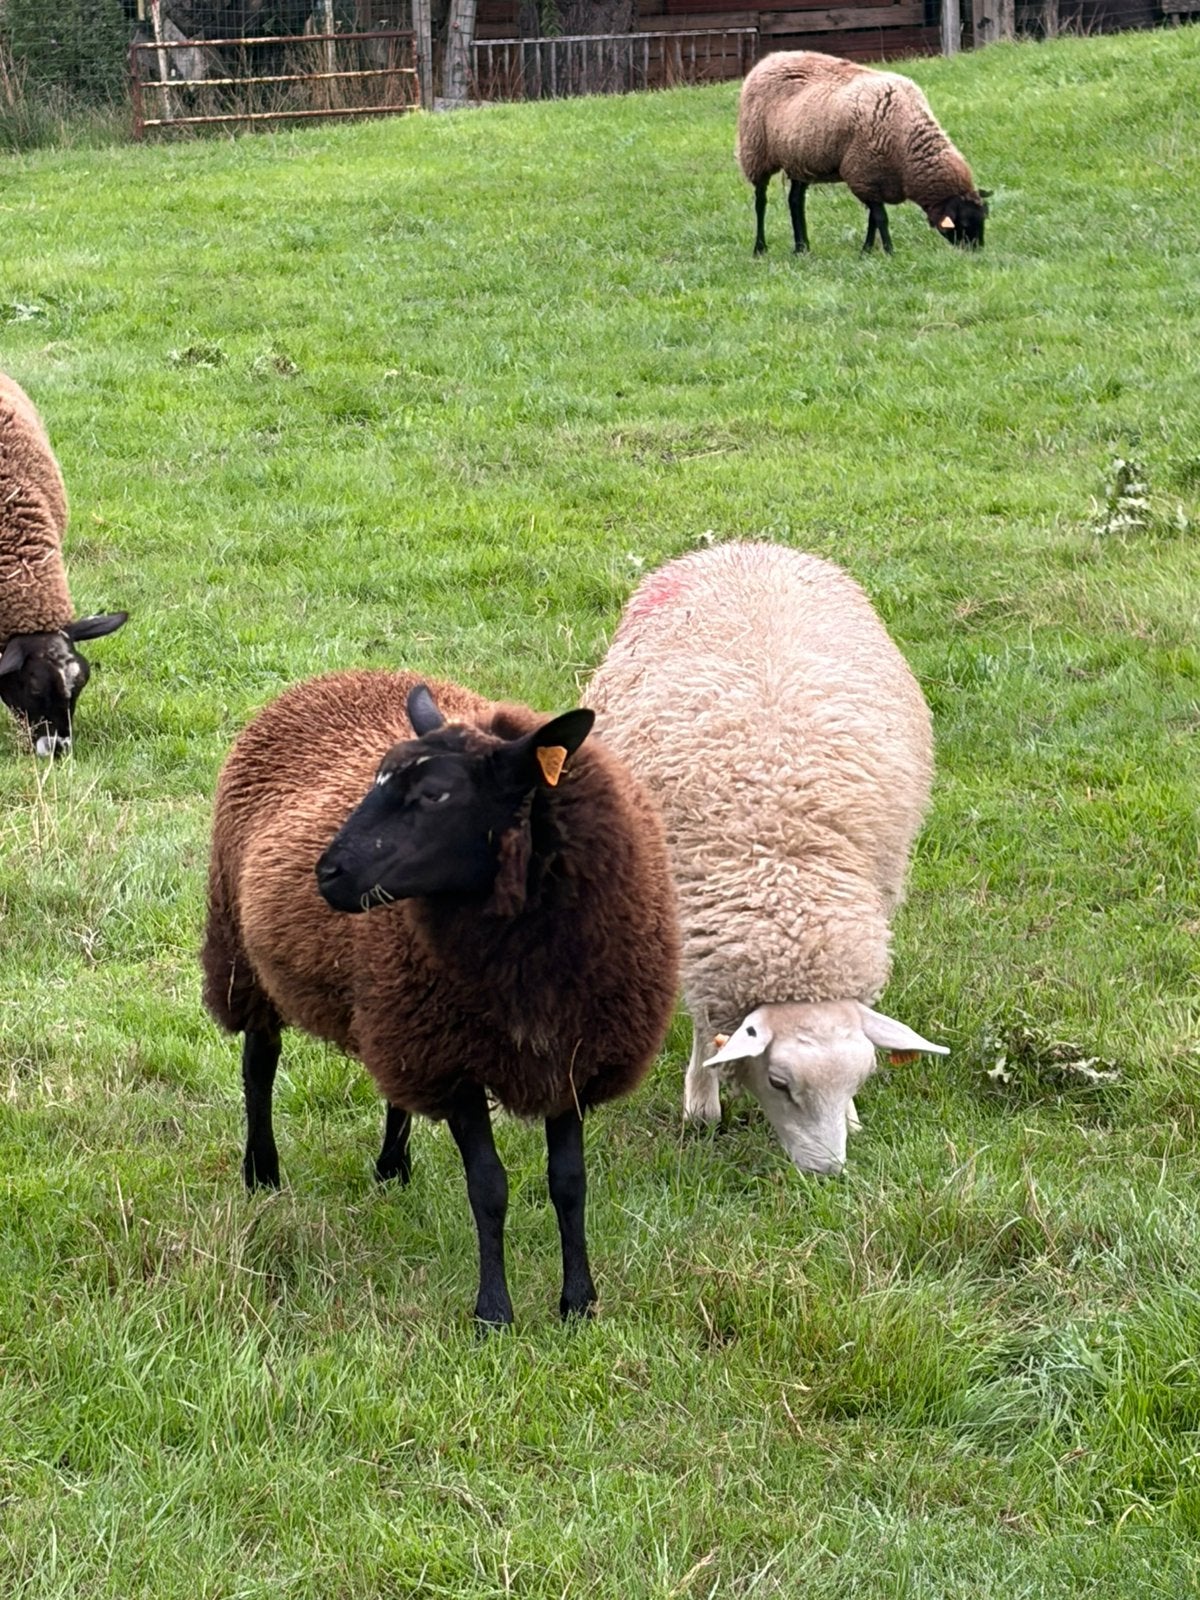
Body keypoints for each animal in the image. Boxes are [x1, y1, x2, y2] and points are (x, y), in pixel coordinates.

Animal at [201, 669, 679, 1328]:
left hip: (396, 1005)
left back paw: (392, 1169)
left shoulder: (570, 1057)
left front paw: (578, 1303)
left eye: (435, 796)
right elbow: (490, 1187)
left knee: (391, 1086)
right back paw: (262, 1172)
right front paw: (494, 1313)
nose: (327, 873)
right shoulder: (456, 1064)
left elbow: (569, 1181)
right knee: (259, 1065)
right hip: (244, 954)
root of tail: (339, 675)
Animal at [587, 542, 947, 1176]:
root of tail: (744, 545)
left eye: (861, 1079)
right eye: (780, 1083)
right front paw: (700, 1106)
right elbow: (706, 1027)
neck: (783, 867)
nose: (828, 1173)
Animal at [736, 50, 990, 256]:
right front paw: (889, 251)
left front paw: (867, 251)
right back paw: (760, 248)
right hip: (755, 151)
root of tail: (768, 59)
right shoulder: (864, 174)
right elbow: (881, 218)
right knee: (761, 202)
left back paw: (802, 248)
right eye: (964, 224)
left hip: (799, 158)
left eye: (982, 220)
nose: (976, 252)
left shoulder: (874, 178)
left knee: (795, 201)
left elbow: (872, 220)